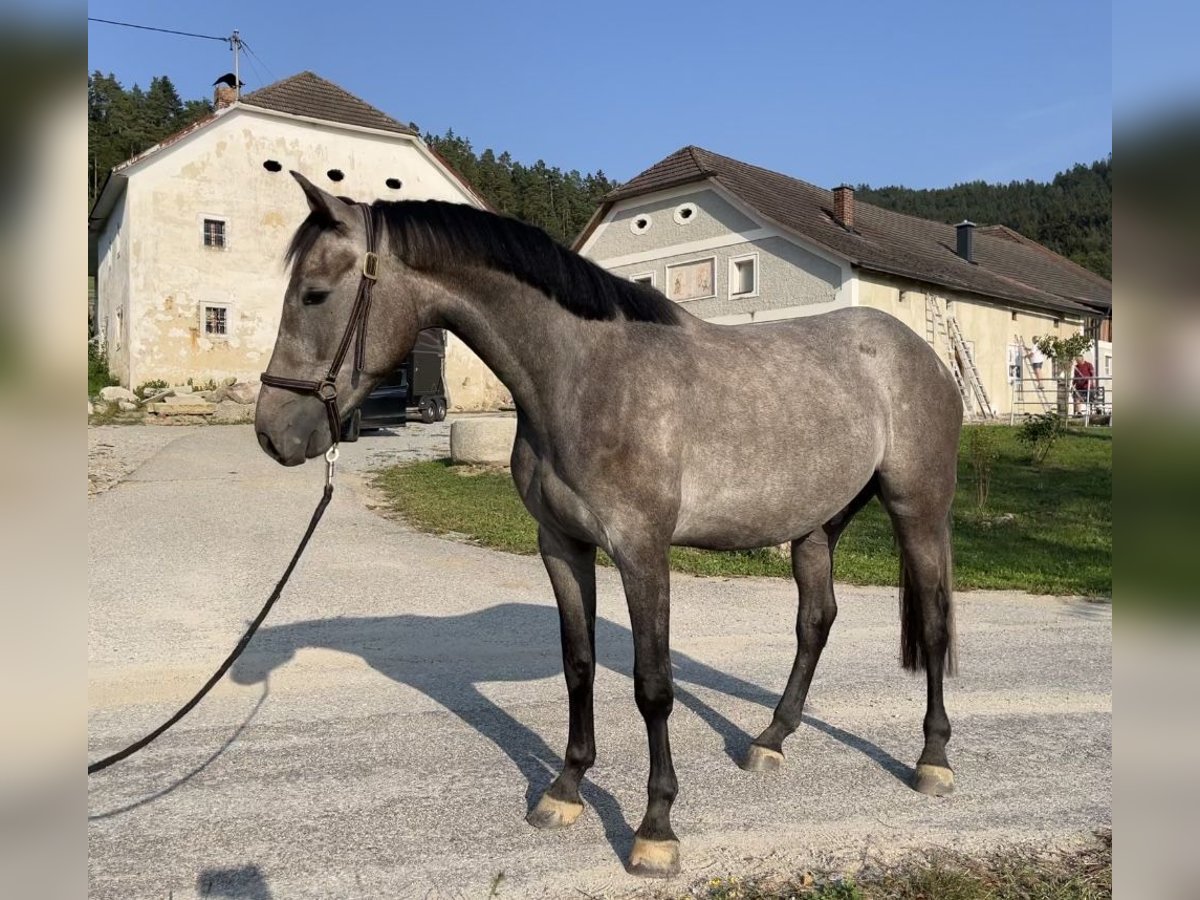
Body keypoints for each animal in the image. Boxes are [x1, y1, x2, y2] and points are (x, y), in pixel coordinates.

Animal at [258, 172, 960, 878]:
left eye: (315, 294)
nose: (272, 434)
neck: (584, 376)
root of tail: (924, 356)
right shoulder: (562, 547)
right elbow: (580, 664)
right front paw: (566, 790)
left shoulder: (641, 551)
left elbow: (653, 686)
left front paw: (655, 829)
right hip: (817, 524)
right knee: (815, 621)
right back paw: (770, 740)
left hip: (917, 511)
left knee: (931, 622)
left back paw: (933, 760)